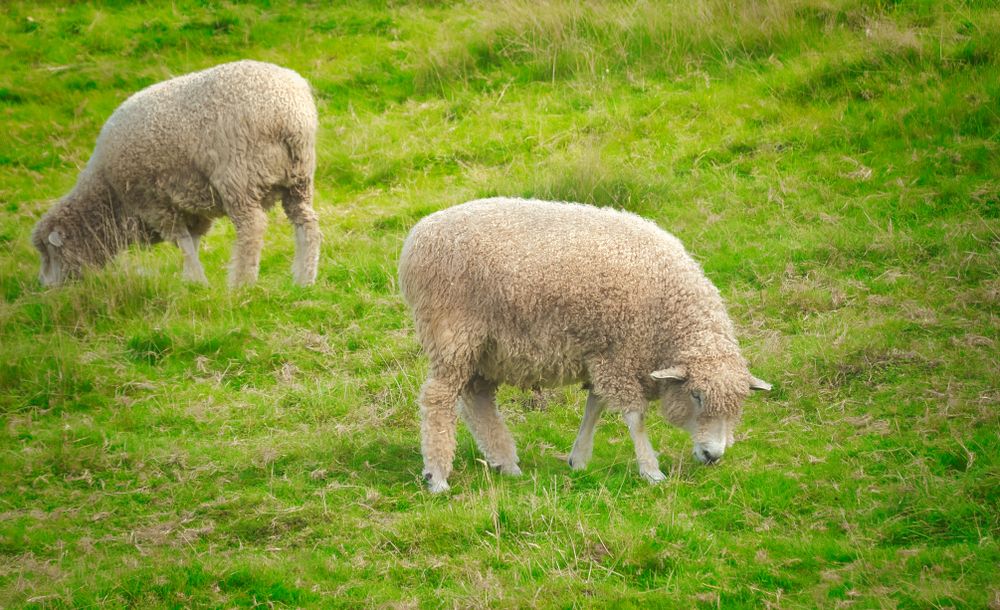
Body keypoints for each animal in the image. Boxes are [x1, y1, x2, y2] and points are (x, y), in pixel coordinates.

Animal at [31, 60, 320, 288]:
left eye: (48, 252)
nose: (44, 284)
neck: (109, 193)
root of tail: (289, 114)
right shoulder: (192, 209)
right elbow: (191, 242)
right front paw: (191, 282)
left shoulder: (152, 204)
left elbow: (182, 242)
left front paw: (196, 280)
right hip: (299, 177)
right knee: (307, 223)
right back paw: (304, 280)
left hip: (239, 175)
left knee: (252, 229)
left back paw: (241, 284)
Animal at [398, 197, 771, 493]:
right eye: (696, 396)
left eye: (738, 406)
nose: (713, 456)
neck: (669, 315)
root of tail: (417, 236)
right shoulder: (619, 353)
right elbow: (634, 417)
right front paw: (651, 470)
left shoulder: (602, 353)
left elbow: (595, 406)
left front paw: (578, 459)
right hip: (452, 332)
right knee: (438, 399)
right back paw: (438, 476)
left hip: (484, 349)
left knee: (477, 400)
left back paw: (507, 464)